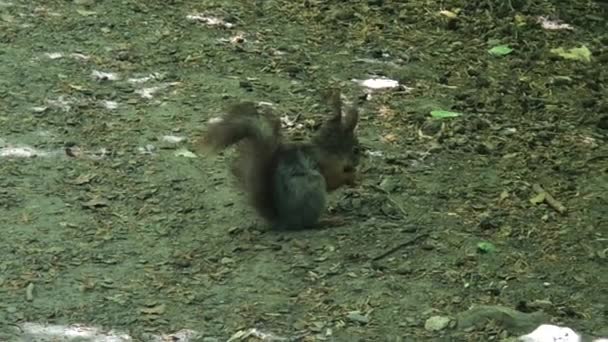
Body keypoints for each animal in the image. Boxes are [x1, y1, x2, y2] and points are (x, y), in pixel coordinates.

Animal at [198, 90, 360, 230]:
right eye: (356, 149)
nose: (357, 162)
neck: (329, 149)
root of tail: (284, 221)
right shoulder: (326, 163)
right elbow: (333, 180)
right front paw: (352, 176)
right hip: (313, 187)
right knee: (309, 224)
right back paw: (329, 221)